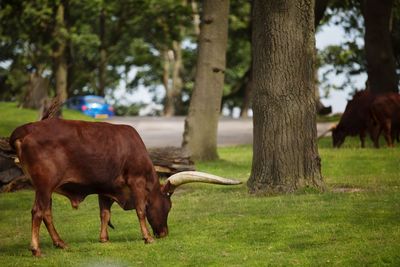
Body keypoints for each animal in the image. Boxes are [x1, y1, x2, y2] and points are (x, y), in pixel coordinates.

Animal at [9, 118, 241, 258]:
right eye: (168, 207)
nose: (164, 233)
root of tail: (24, 130)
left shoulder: (105, 188)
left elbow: (104, 213)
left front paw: (104, 239)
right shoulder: (136, 181)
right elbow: (140, 210)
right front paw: (147, 238)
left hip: (44, 187)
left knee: (47, 213)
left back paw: (61, 243)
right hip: (44, 184)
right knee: (38, 212)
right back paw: (36, 249)